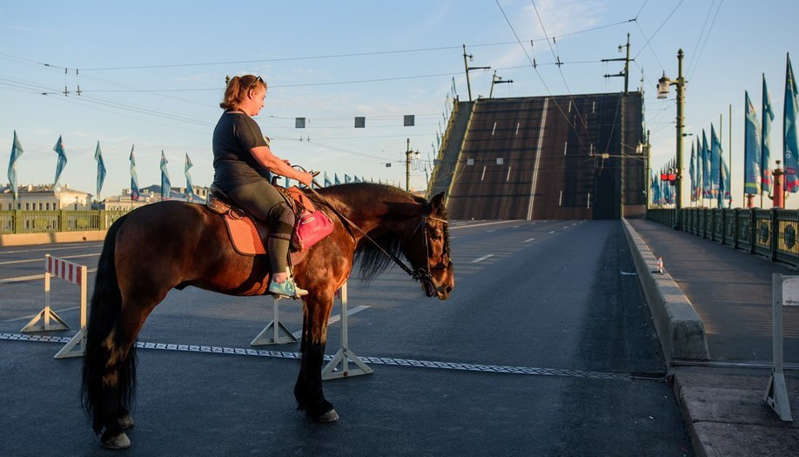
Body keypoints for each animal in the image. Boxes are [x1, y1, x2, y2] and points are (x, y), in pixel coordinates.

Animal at [83, 182, 454, 446]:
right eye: (435, 233)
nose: (447, 284)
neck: (337, 221)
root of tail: (126, 218)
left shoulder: (311, 299)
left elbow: (308, 345)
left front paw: (307, 400)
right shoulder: (322, 296)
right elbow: (316, 347)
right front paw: (320, 405)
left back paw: (118, 416)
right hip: (140, 302)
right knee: (112, 349)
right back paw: (112, 427)